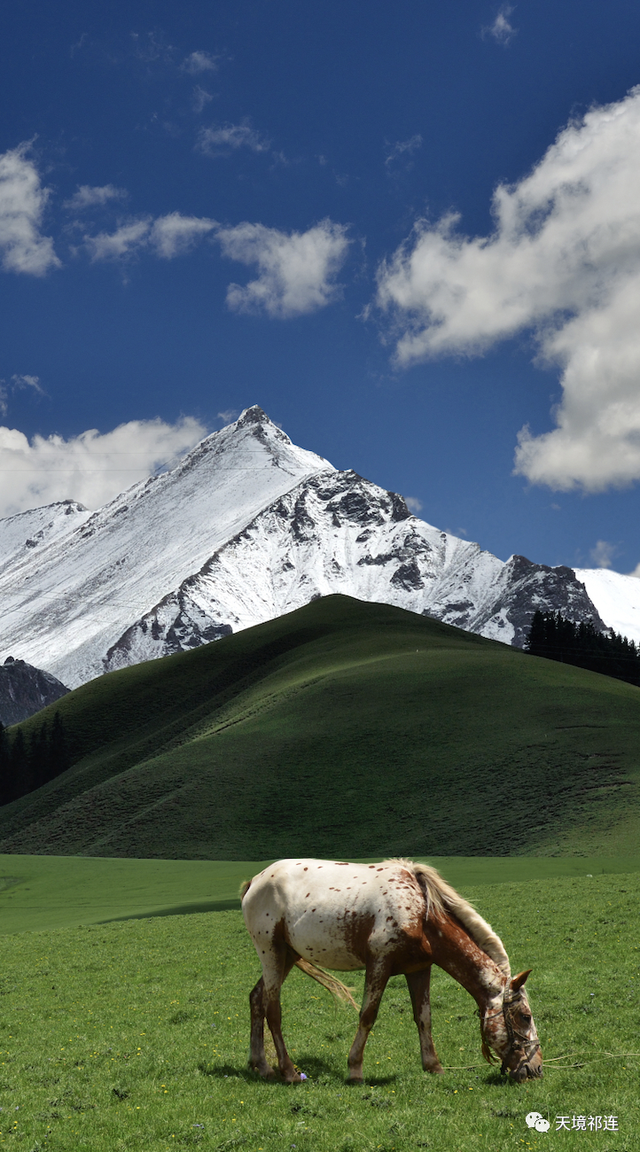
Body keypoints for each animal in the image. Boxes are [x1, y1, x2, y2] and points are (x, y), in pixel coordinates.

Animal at [242, 861, 543, 1082]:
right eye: (525, 1017)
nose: (536, 1068)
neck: (420, 913)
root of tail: (255, 881)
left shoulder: (419, 969)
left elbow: (424, 1018)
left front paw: (433, 1066)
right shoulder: (379, 963)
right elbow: (367, 1016)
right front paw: (355, 1069)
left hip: (287, 956)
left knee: (257, 998)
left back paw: (262, 1066)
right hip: (271, 952)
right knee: (273, 1009)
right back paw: (288, 1072)